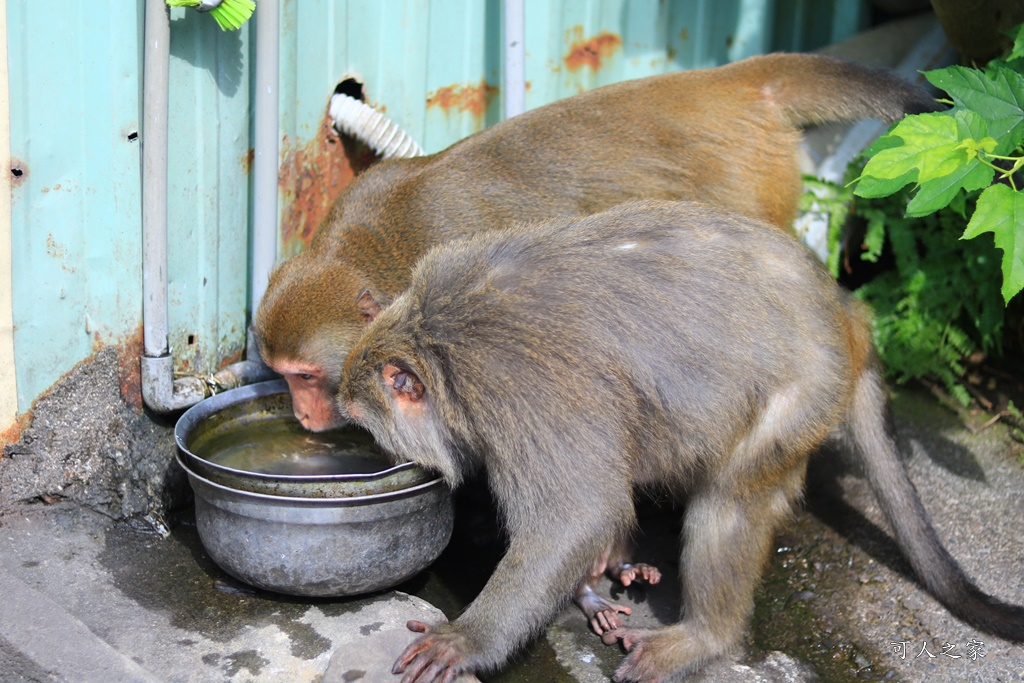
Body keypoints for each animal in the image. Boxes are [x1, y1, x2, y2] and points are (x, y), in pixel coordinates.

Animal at [249, 56, 942, 436]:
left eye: (307, 376)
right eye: (281, 376)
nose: (303, 417)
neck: (374, 249)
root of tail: (729, 85)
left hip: (750, 190)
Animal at [337, 200, 1024, 679]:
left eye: (372, 430)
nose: (385, 457)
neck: (435, 334)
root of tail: (845, 313)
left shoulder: (514, 391)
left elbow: (575, 514)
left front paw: (468, 640)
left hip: (803, 394)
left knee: (731, 499)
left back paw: (706, 638)